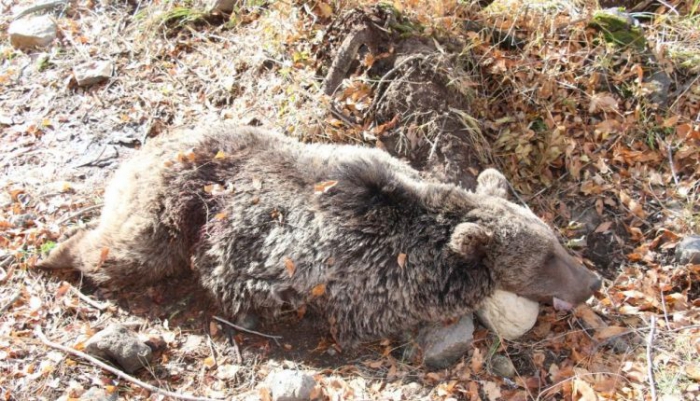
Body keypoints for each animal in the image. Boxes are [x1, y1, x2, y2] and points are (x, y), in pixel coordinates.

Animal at [41, 123, 600, 346]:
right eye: (546, 258)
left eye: (555, 241)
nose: (593, 282)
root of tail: (154, 145)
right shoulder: (372, 287)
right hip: (176, 204)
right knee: (127, 248)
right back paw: (52, 254)